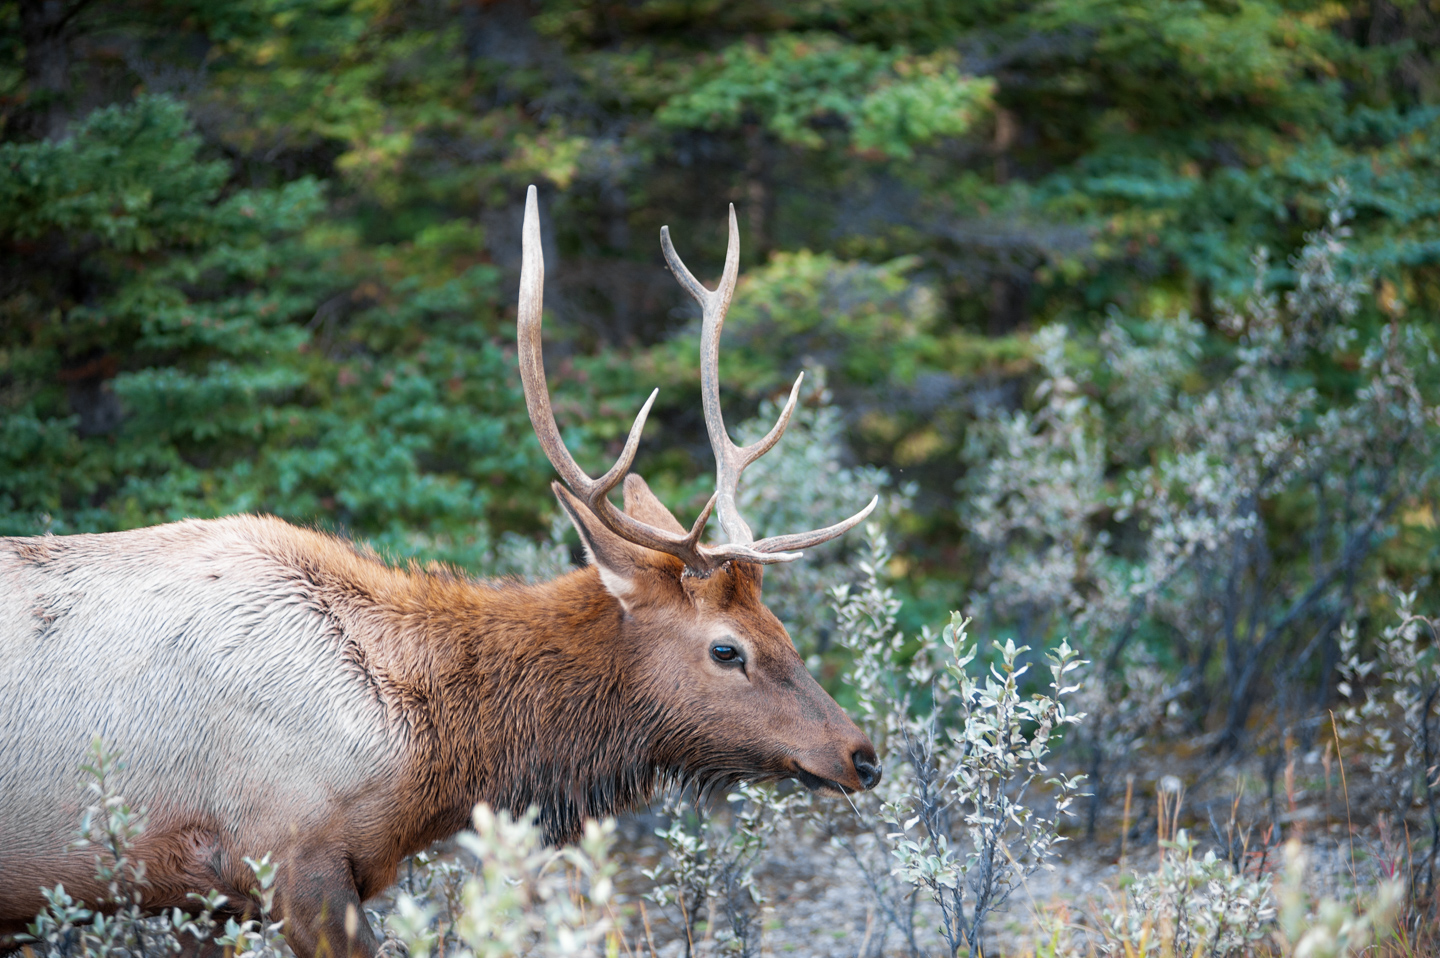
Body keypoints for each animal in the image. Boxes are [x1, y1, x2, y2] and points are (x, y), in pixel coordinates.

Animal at [0, 187, 875, 956]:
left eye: (781, 626)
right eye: (728, 648)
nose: (862, 752)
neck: (418, 755)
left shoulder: (204, 897)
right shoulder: (288, 855)